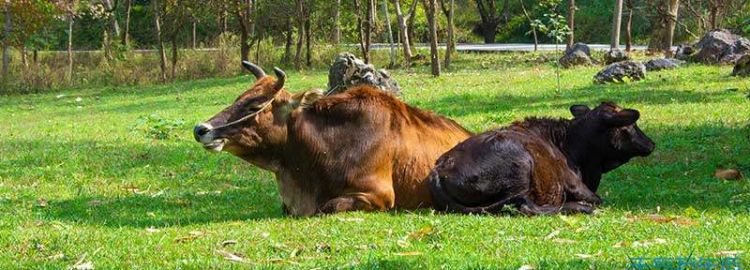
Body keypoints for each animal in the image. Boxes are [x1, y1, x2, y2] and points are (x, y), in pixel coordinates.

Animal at [428, 103, 656, 215]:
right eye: (630, 126)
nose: (651, 143)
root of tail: (439, 168)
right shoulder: (573, 184)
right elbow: (598, 199)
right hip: (521, 166)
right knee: (524, 206)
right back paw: (579, 208)